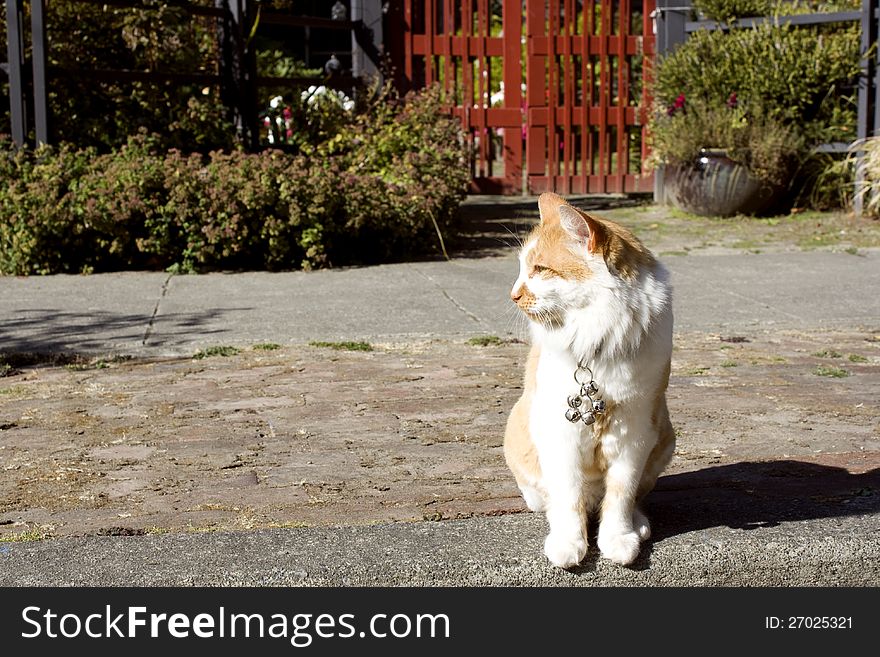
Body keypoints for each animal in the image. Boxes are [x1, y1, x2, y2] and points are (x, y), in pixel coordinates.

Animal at [502, 192, 672, 568]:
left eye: (540, 269)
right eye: (521, 268)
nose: (513, 294)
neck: (597, 340)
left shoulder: (636, 430)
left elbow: (621, 495)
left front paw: (619, 538)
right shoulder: (559, 436)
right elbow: (568, 496)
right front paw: (568, 543)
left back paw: (638, 524)